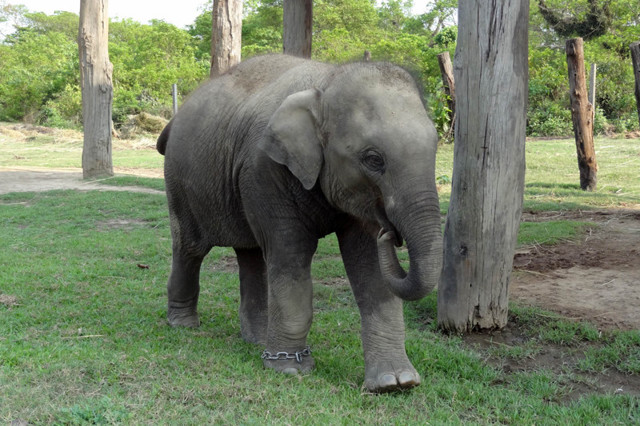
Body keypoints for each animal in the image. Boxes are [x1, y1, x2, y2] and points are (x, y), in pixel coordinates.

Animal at [158, 54, 442, 392]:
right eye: (373, 159)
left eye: (437, 147)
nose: (389, 232)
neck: (328, 81)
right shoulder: (264, 169)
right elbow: (291, 254)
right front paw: (290, 370)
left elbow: (370, 266)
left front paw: (395, 382)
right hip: (179, 182)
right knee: (190, 248)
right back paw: (184, 325)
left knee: (250, 254)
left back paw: (257, 341)